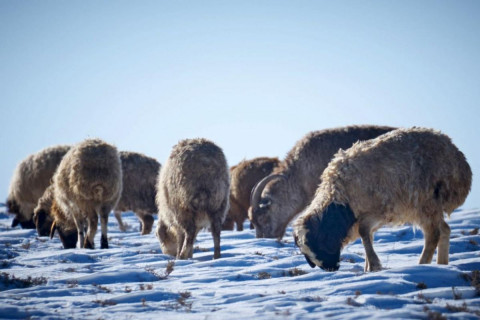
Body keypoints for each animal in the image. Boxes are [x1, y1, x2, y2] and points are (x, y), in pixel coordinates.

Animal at [294, 126, 470, 272]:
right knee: (445, 229)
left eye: (319, 244)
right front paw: (368, 268)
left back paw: (422, 265)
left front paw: (374, 265)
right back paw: (442, 265)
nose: (331, 268)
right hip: (430, 206)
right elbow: (367, 235)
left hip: (425, 202)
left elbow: (364, 232)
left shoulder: (379, 211)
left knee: (433, 234)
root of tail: (459, 161)